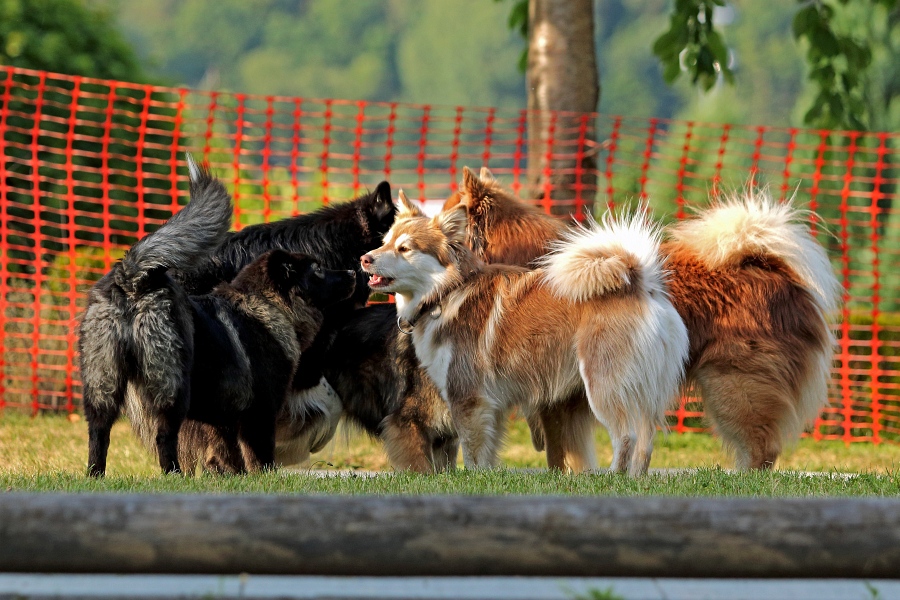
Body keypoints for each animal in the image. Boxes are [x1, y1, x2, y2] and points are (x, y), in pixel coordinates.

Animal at [79, 157, 356, 476]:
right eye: (318, 270)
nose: (353, 273)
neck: (267, 305)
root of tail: (132, 279)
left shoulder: (222, 417)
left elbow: (227, 451)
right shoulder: (260, 412)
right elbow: (259, 453)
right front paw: (264, 476)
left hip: (102, 383)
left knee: (98, 433)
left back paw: (95, 475)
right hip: (170, 385)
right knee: (164, 435)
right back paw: (173, 474)